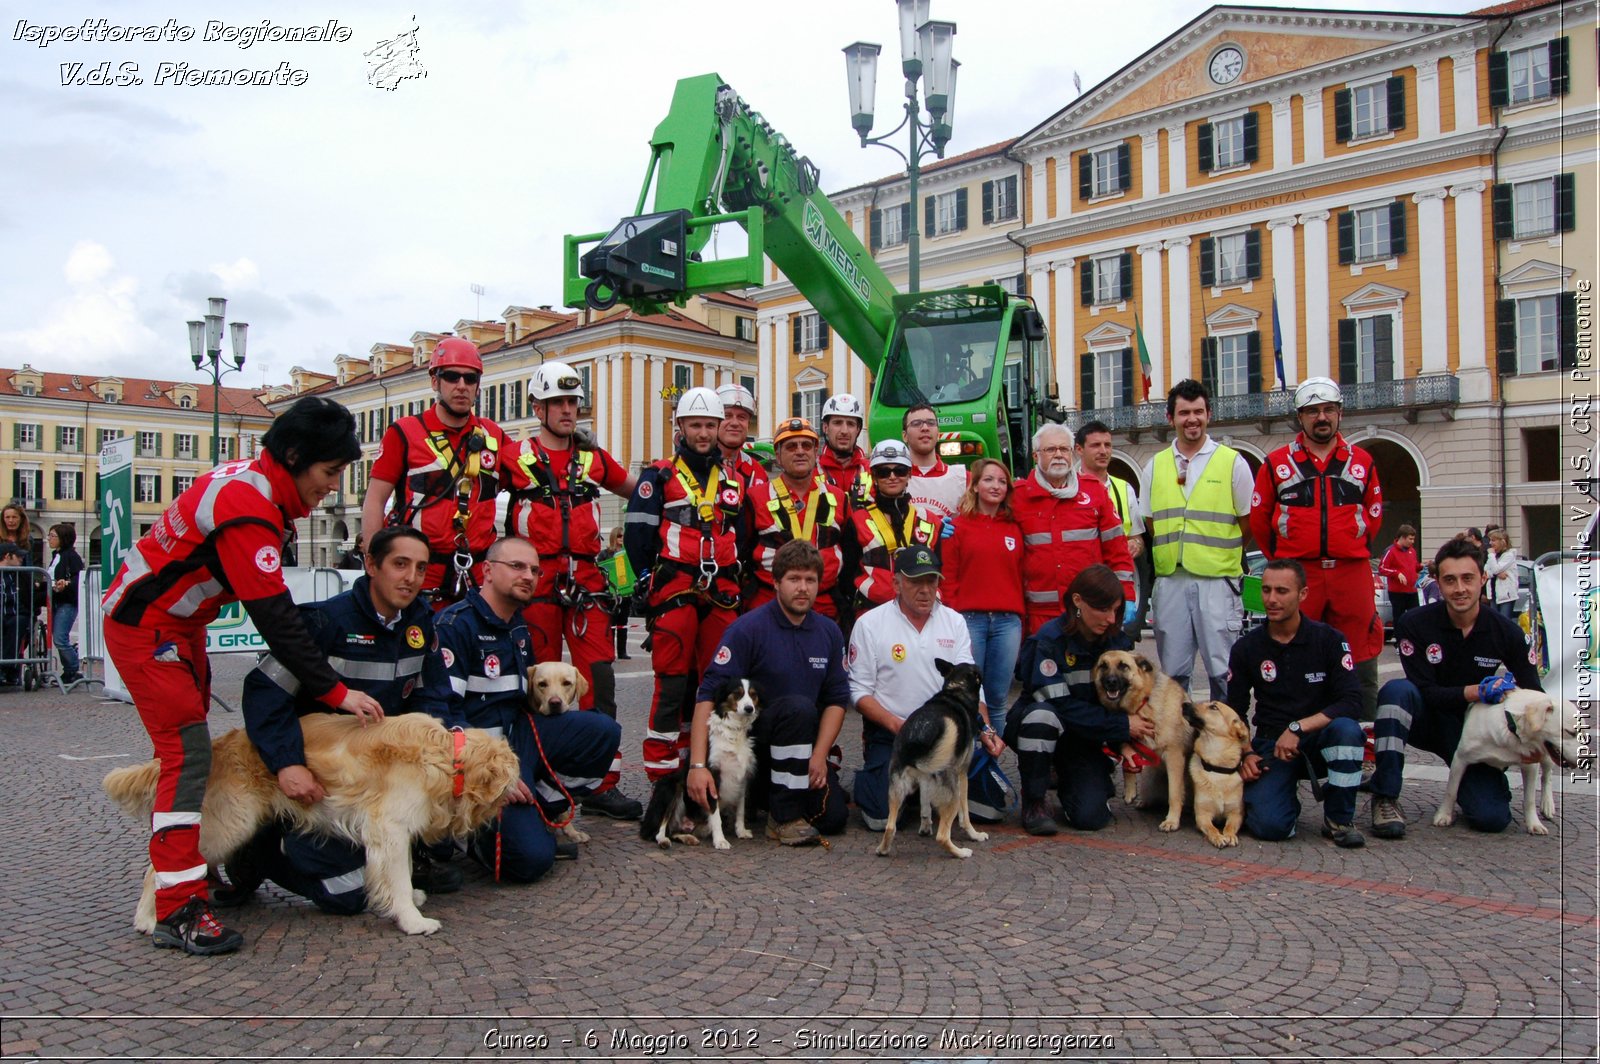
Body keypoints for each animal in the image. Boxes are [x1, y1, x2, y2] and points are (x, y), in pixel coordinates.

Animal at [104, 710, 518, 934]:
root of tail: (221, 744)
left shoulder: (388, 832)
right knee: (159, 866)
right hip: (228, 824)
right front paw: (413, 920)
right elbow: (398, 876)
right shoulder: (390, 828)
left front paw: (404, 900)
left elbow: (391, 873)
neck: (446, 758)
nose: (516, 797)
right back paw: (149, 918)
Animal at [1094, 646, 1196, 832]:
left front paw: (1172, 820)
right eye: (1103, 666)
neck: (1143, 702)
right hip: (1149, 778)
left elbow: (1174, 794)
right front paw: (1129, 791)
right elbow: (1128, 759)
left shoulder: (1174, 757)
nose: (1110, 682)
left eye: (1123, 666)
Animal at [1184, 700, 1254, 851]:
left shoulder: (1236, 814)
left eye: (1214, 707)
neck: (1217, 769)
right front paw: (1218, 837)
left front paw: (1229, 835)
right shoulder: (1202, 816)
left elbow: (1229, 826)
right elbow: (1212, 828)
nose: (1184, 704)